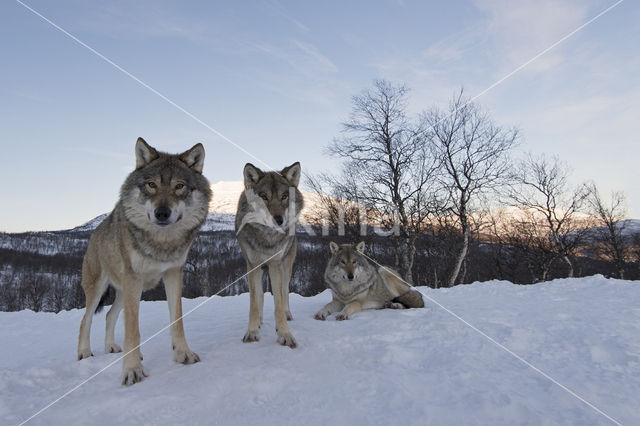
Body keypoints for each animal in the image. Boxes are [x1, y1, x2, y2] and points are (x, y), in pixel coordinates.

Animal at [77, 138, 212, 384]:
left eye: (179, 186)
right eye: (151, 185)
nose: (162, 213)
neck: (161, 244)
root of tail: (95, 232)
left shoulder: (173, 273)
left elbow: (177, 319)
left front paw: (183, 353)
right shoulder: (134, 278)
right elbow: (133, 330)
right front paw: (132, 370)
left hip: (124, 291)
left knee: (109, 315)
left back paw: (111, 347)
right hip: (100, 289)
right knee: (86, 319)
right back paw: (84, 353)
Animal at [236, 161, 304, 348]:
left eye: (284, 196)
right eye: (264, 197)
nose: (279, 220)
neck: (266, 238)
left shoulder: (276, 264)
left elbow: (279, 302)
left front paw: (284, 334)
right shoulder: (252, 265)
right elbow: (254, 301)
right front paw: (252, 332)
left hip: (287, 266)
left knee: (285, 290)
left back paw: (288, 314)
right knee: (260, 295)